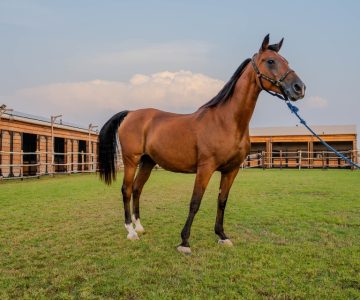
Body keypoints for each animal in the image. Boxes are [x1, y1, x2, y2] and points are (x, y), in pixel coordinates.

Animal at [97, 35, 304, 255]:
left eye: (286, 61)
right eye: (271, 61)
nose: (299, 88)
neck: (226, 121)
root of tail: (131, 113)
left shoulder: (231, 170)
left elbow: (222, 201)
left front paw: (222, 236)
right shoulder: (205, 168)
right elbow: (195, 202)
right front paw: (184, 242)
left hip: (147, 162)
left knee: (137, 189)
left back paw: (139, 227)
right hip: (131, 160)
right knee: (126, 190)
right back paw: (130, 231)